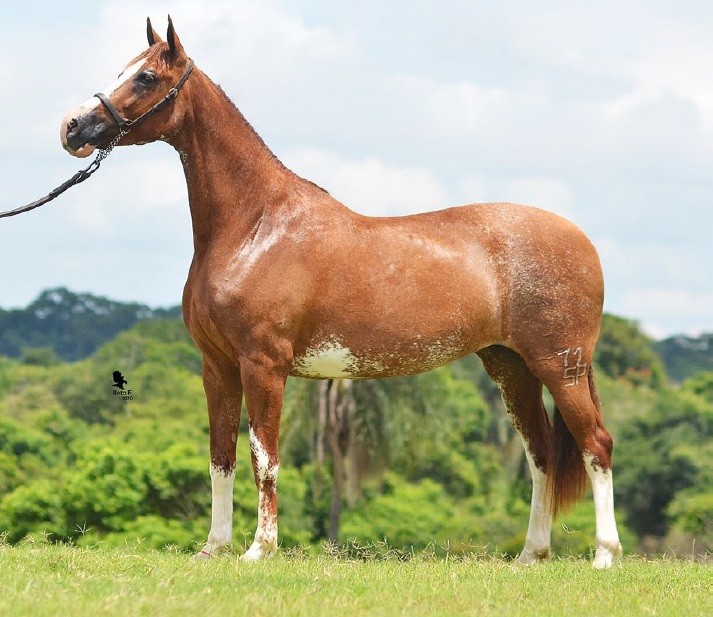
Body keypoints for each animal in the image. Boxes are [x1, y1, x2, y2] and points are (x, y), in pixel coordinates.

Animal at [58, 16, 620, 568]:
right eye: (123, 70)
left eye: (145, 78)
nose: (72, 127)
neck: (255, 227)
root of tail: (583, 241)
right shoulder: (216, 365)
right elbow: (222, 456)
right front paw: (213, 548)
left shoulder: (264, 365)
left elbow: (265, 457)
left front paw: (259, 549)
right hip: (511, 366)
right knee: (541, 453)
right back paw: (531, 555)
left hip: (560, 366)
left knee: (596, 444)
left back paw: (604, 556)